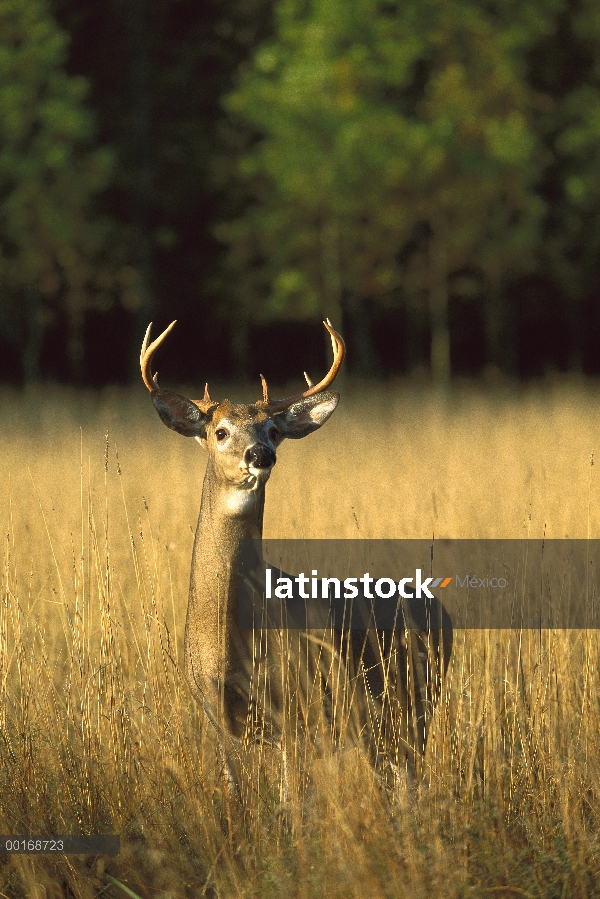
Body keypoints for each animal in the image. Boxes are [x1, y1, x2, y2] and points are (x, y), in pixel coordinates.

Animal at [141, 320, 450, 792]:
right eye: (220, 431)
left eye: (273, 430)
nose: (260, 455)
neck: (228, 641)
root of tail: (445, 613)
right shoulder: (215, 717)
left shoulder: (296, 711)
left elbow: (291, 799)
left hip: (414, 705)